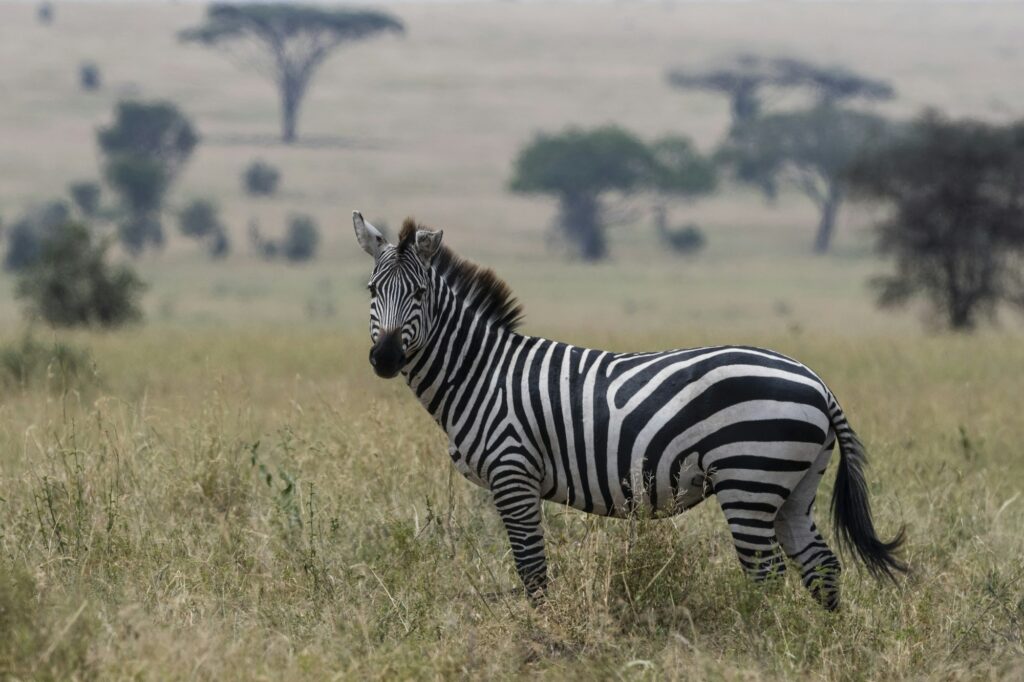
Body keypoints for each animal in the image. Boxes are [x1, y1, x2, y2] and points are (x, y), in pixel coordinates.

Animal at [352, 210, 905, 606]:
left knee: (766, 573)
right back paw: (820, 642)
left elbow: (532, 572)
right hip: (794, 485)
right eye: (372, 290)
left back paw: (768, 639)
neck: (481, 373)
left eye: (420, 292)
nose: (384, 359)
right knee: (821, 565)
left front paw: (543, 634)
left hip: (749, 477)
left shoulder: (513, 473)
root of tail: (818, 383)